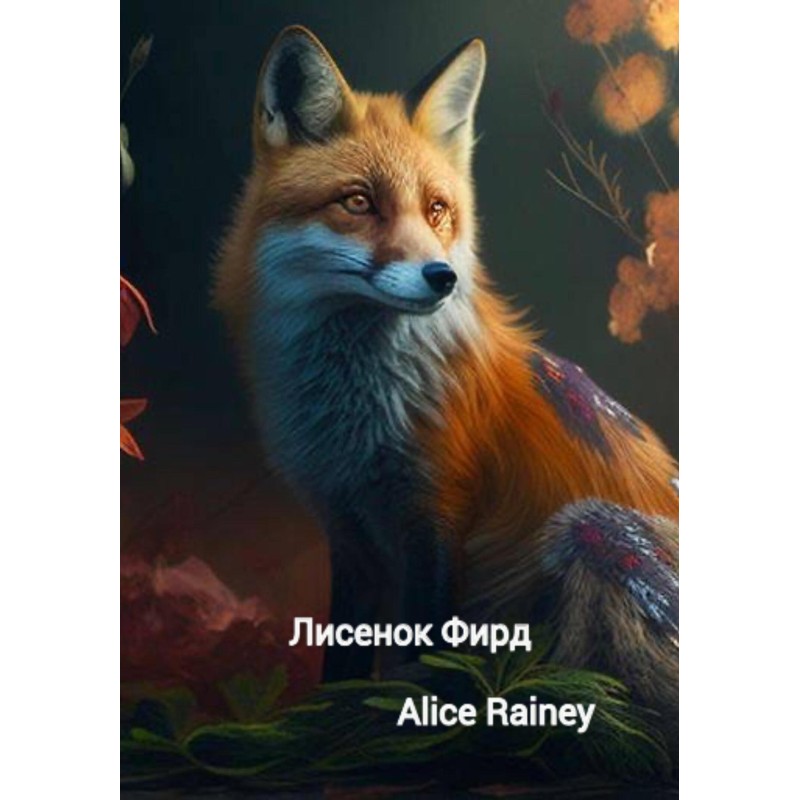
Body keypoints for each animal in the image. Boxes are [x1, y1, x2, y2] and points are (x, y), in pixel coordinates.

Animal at [213, 26, 678, 741]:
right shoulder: (346, 525)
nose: (442, 278)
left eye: (437, 211)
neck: (360, 418)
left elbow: (422, 648)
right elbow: (344, 655)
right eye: (358, 202)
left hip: (587, 532)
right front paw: (329, 722)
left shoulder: (440, 512)